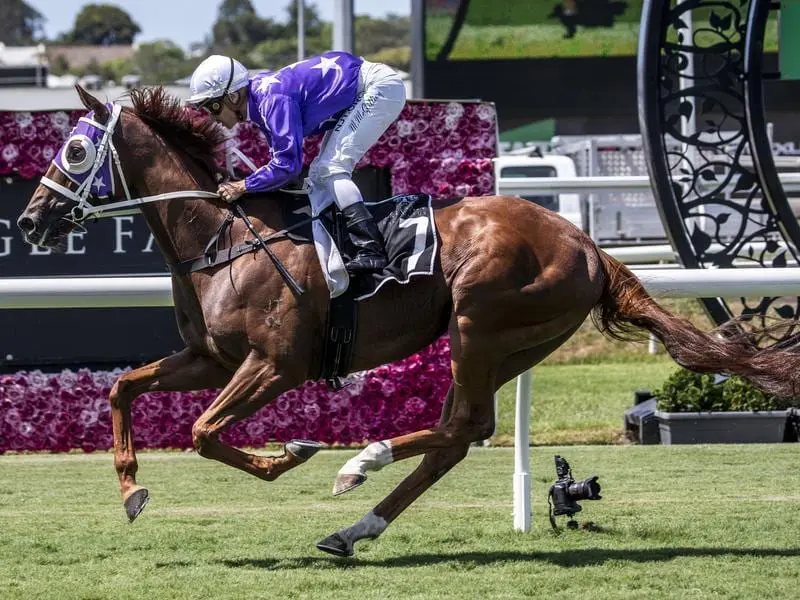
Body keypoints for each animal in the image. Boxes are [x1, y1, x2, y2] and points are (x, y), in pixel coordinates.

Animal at [17, 88, 800, 556]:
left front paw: (292, 453)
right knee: (460, 433)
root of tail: (586, 243)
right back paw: (353, 524)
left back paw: (358, 468)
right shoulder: (211, 357)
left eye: (77, 149)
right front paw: (131, 490)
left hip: (480, 321)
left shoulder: (275, 364)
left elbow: (206, 432)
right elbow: (122, 387)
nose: (29, 220)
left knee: (461, 426)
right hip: (510, 342)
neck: (223, 235)